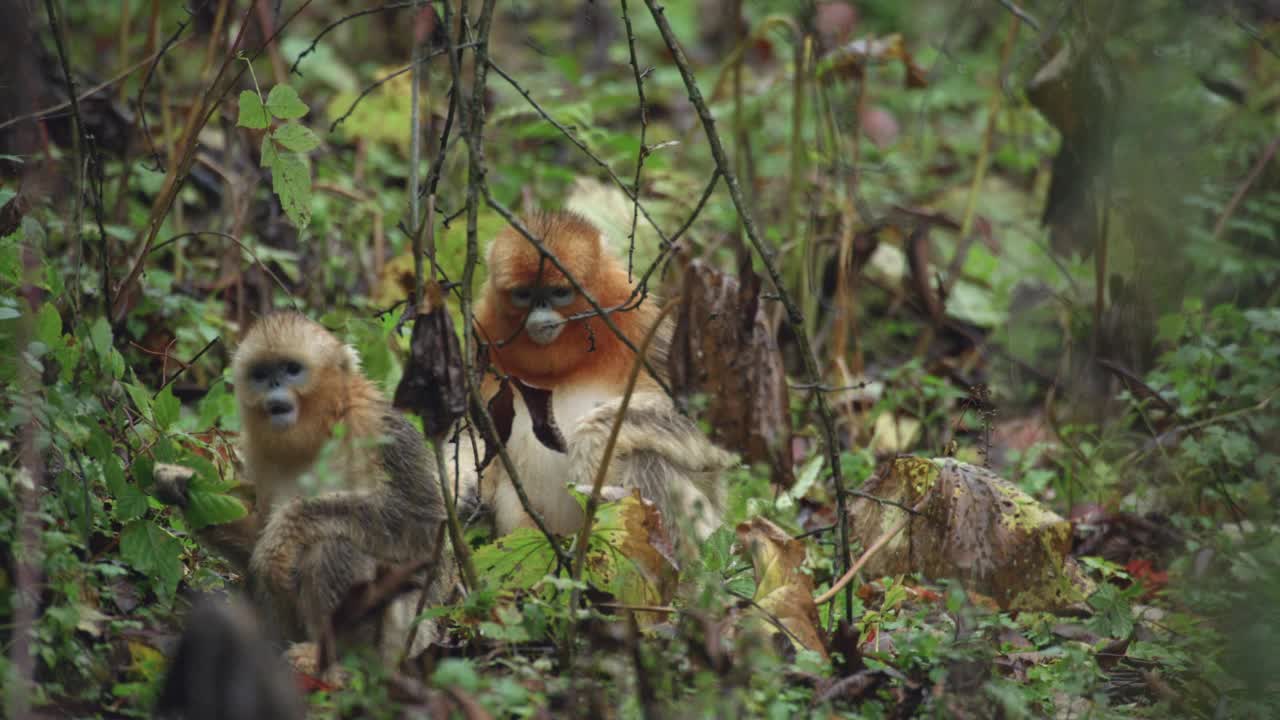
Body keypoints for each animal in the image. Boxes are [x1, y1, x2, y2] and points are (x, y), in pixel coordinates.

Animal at [154, 312, 455, 661]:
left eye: (291, 369)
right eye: (261, 374)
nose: (274, 385)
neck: (320, 431)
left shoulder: (379, 426)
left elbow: (421, 523)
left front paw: (285, 531)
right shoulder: (259, 452)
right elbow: (256, 539)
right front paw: (181, 485)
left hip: (398, 636)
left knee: (331, 547)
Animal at [471, 210, 737, 540]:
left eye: (559, 292)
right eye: (524, 294)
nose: (540, 315)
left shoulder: (640, 323)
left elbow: (717, 426)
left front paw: (593, 441)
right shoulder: (481, 335)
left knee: (648, 458)